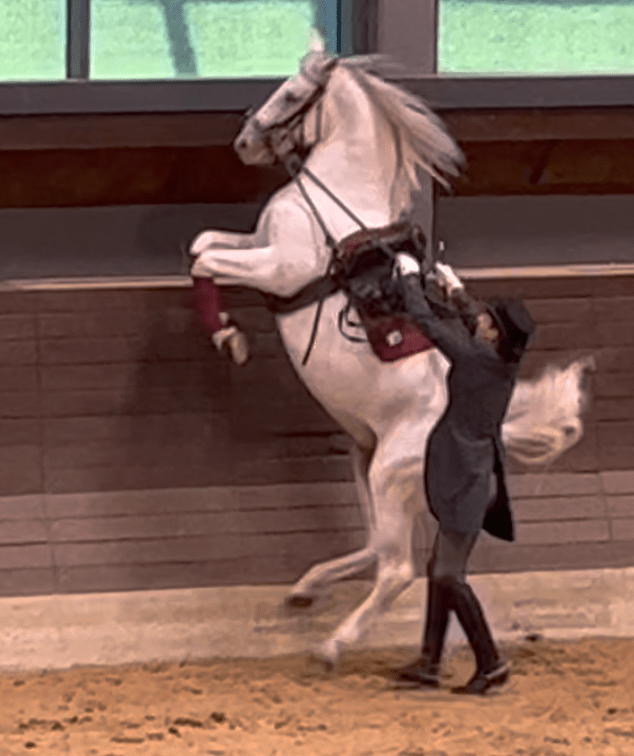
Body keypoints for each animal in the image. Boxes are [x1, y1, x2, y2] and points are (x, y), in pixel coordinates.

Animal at [189, 35, 592, 667]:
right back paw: (306, 589)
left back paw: (334, 643)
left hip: (388, 474)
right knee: (377, 547)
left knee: (397, 567)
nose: (246, 140)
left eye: (293, 93)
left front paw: (228, 337)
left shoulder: (278, 266)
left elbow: (205, 259)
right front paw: (225, 327)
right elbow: (204, 243)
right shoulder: (260, 245)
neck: (338, 194)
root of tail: (491, 433)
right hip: (370, 464)